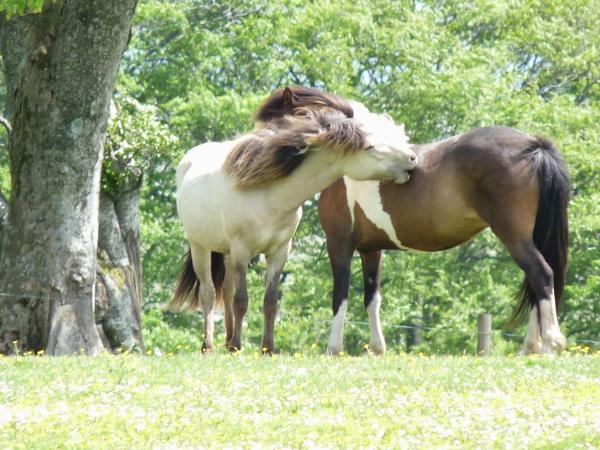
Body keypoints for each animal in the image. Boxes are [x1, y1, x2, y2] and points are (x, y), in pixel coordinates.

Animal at [166, 86, 414, 354]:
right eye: (370, 146)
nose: (412, 158)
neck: (269, 195)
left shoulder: (279, 252)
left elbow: (270, 302)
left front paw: (268, 349)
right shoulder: (243, 251)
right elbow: (242, 300)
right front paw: (239, 348)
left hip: (227, 253)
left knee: (227, 290)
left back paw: (229, 340)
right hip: (200, 246)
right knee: (209, 293)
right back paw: (210, 345)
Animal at [322, 125, 568, 356]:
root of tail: (534, 146)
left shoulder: (338, 244)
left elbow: (340, 296)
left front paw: (333, 349)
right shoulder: (370, 249)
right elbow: (372, 298)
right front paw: (376, 348)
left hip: (515, 238)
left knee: (541, 274)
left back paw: (549, 344)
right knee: (536, 283)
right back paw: (530, 347)